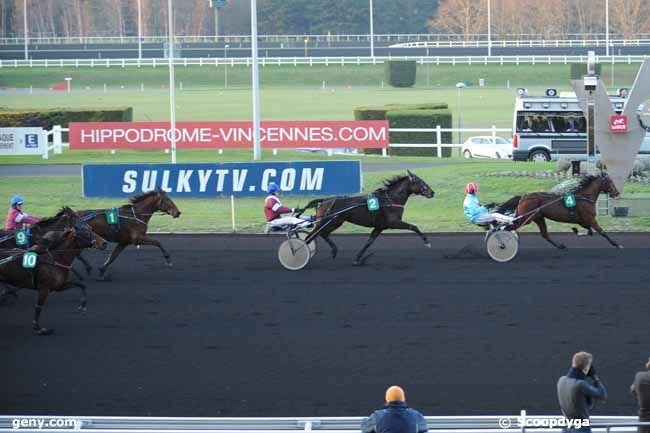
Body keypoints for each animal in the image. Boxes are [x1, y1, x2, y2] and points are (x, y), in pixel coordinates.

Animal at [300, 170, 436, 264]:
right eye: (419, 181)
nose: (432, 192)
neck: (390, 199)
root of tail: (324, 200)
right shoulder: (393, 222)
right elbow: (414, 227)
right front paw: (427, 242)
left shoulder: (379, 227)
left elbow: (369, 242)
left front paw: (358, 258)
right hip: (332, 221)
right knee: (313, 235)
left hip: (332, 222)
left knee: (320, 234)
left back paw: (332, 251)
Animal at [496, 170, 624, 248]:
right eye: (610, 181)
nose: (617, 193)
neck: (584, 197)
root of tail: (524, 197)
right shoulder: (590, 218)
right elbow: (602, 232)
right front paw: (617, 244)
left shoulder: (582, 220)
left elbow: (589, 231)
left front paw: (576, 231)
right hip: (526, 218)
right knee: (508, 228)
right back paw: (502, 243)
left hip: (538, 217)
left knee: (545, 234)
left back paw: (560, 246)